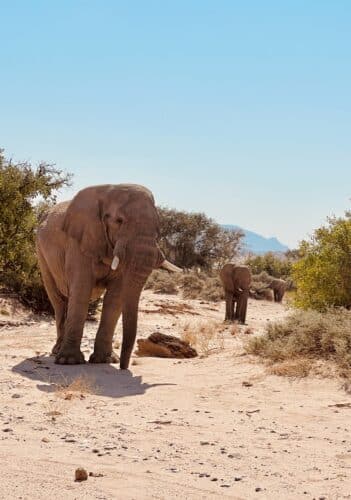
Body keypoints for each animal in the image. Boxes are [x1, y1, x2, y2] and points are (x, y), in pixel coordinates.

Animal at [35, 184, 182, 368]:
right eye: (119, 221)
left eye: (158, 228)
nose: (123, 368)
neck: (108, 190)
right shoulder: (79, 241)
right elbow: (82, 289)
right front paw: (70, 361)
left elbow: (115, 297)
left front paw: (105, 360)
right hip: (41, 255)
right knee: (58, 300)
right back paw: (57, 352)